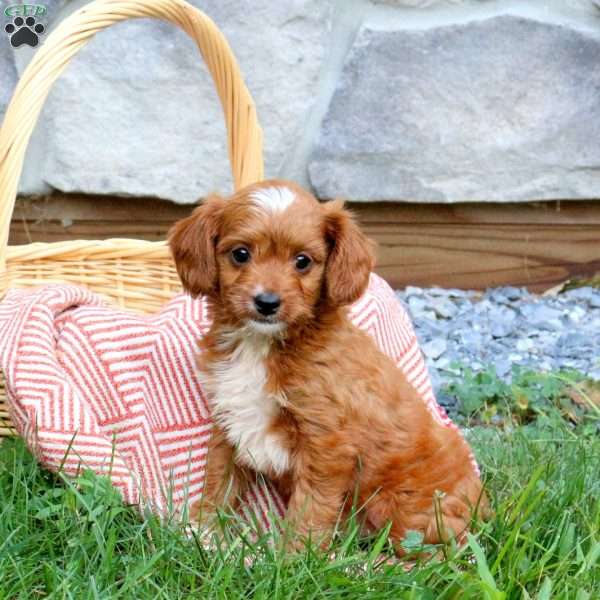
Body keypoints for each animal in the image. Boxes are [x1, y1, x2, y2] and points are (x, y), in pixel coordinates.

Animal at [169, 179, 488, 552]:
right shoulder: (229, 421)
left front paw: (293, 557)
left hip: (408, 512)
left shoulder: (326, 443)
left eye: (303, 261)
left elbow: (311, 507)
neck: (262, 345)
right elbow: (219, 477)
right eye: (240, 254)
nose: (267, 302)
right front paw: (201, 530)